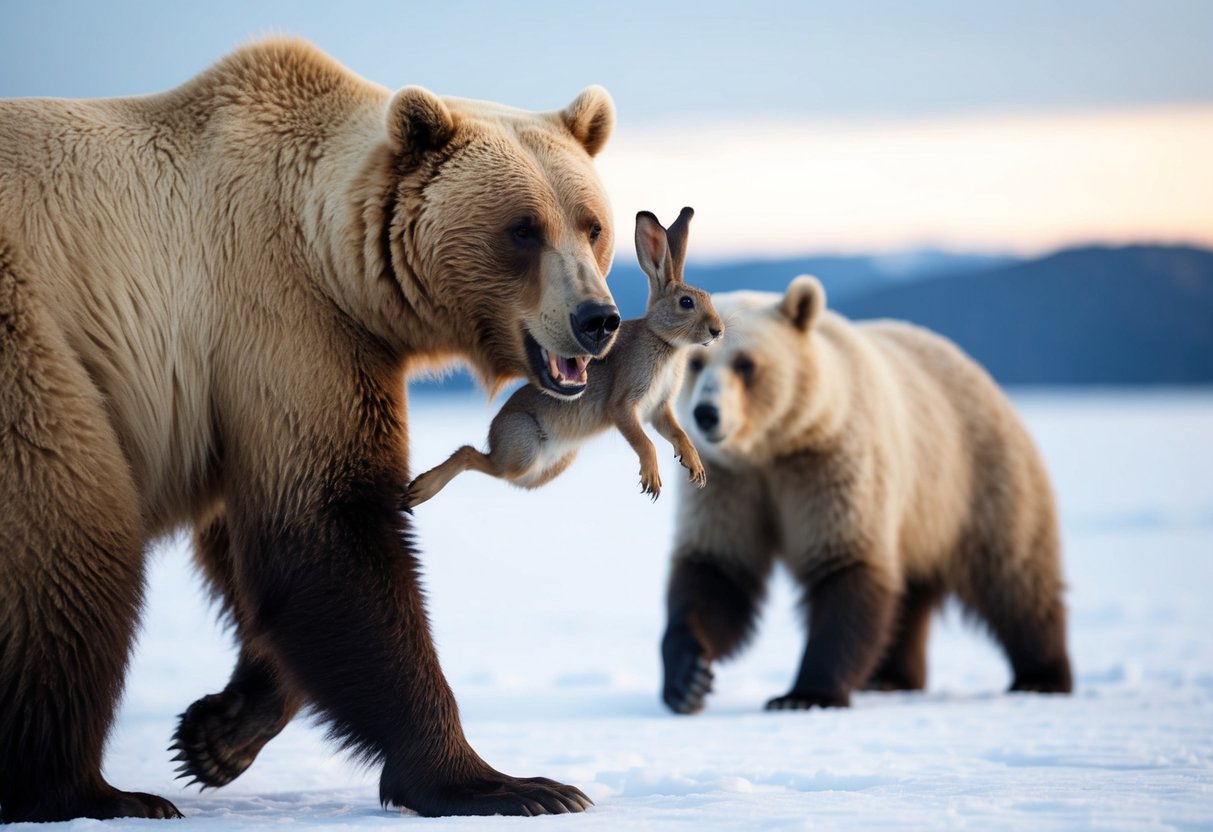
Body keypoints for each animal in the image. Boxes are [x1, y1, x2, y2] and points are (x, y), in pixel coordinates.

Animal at [0, 38, 619, 821]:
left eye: (590, 223)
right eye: (523, 229)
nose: (597, 319)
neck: (334, 253)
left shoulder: (247, 380)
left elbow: (260, 546)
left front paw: (217, 734)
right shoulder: (283, 318)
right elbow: (328, 527)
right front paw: (506, 784)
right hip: (29, 343)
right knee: (74, 544)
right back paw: (91, 790)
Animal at [660, 275, 1072, 715]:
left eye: (746, 364)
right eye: (696, 363)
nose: (707, 414)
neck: (773, 446)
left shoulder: (832, 462)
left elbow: (847, 565)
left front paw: (803, 695)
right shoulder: (730, 483)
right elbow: (716, 568)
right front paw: (688, 679)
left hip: (976, 479)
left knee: (1015, 577)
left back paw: (1042, 677)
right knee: (911, 597)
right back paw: (891, 677)